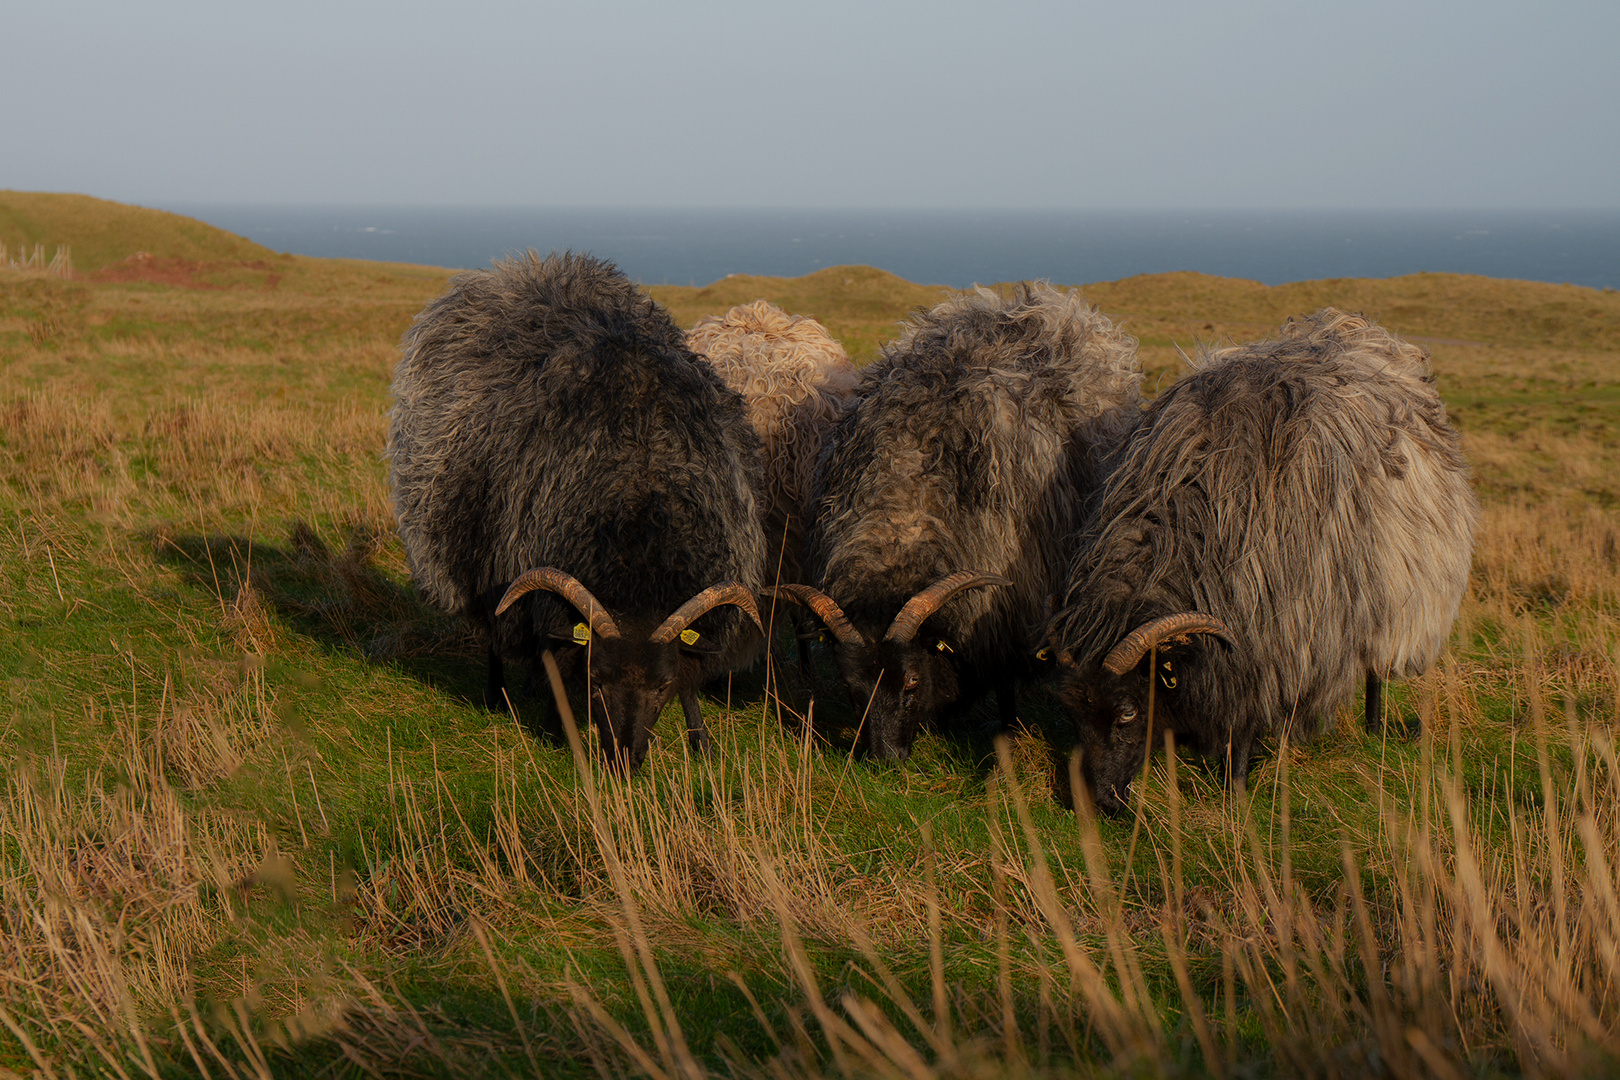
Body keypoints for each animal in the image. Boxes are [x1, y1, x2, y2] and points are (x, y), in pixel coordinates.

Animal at [390, 247, 771, 767]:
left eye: (663, 686)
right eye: (597, 680)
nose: (625, 762)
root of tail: (519, 269)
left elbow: (691, 679)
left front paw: (702, 742)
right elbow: (550, 654)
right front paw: (558, 728)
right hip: (473, 549)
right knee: (492, 630)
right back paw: (497, 695)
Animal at [767, 284, 1140, 761]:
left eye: (911, 682)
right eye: (853, 690)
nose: (884, 759)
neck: (902, 519)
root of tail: (1032, 304)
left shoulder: (1008, 604)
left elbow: (1003, 679)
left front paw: (1008, 729)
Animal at [1049, 304, 1483, 809]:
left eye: (1127, 713)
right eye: (1073, 714)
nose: (1099, 803)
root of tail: (1358, 331)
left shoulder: (1267, 638)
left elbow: (1244, 720)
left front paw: (1236, 788)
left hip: (1394, 590)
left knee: (1377, 669)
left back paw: (1376, 728)